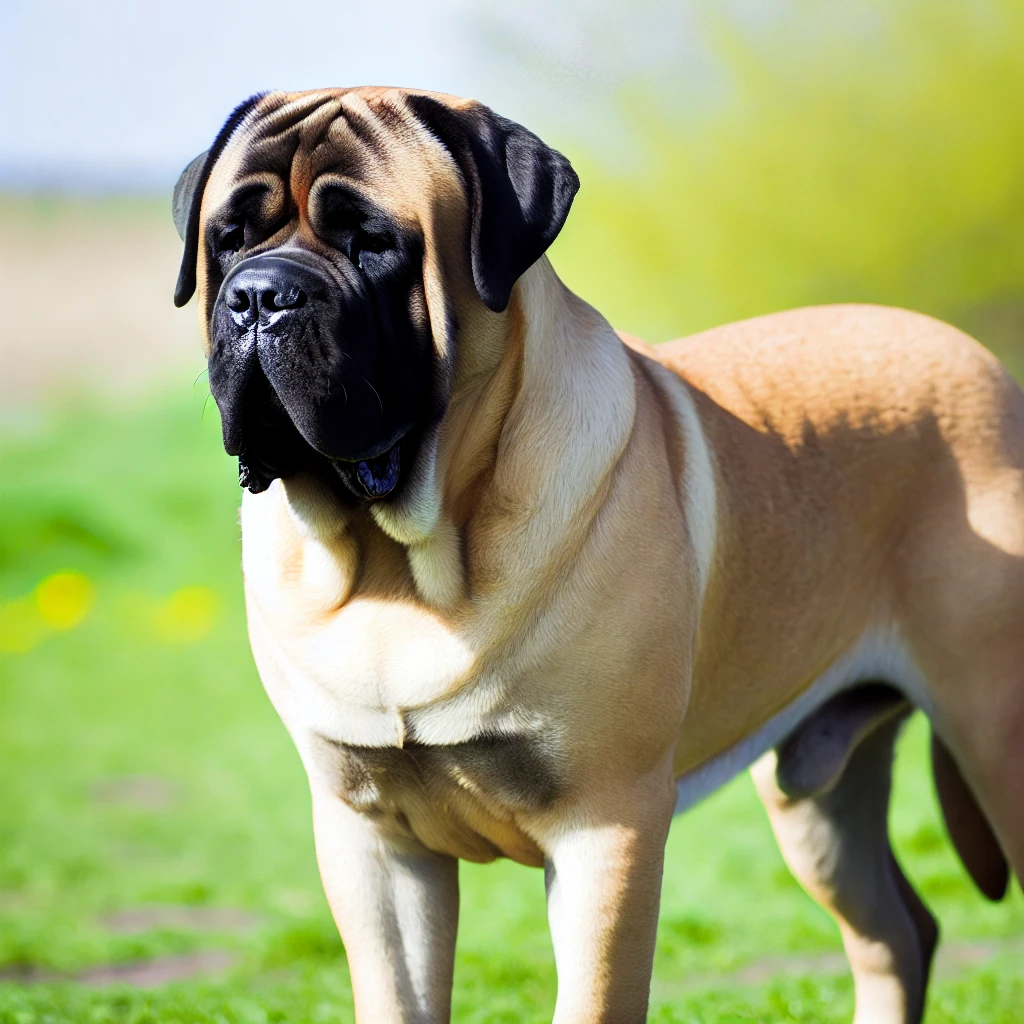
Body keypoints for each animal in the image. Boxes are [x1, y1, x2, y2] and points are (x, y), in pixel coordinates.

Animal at [172, 90, 1019, 1024]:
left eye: (373, 242)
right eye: (228, 239)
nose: (260, 295)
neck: (403, 564)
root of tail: (985, 366)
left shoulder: (606, 828)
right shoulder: (372, 839)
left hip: (995, 732)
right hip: (817, 797)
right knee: (895, 934)